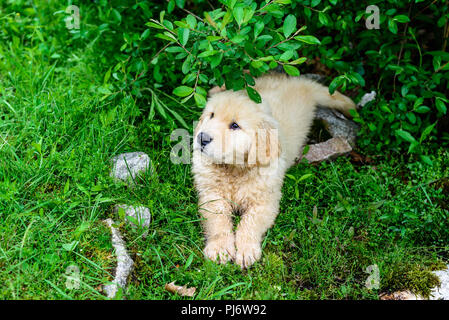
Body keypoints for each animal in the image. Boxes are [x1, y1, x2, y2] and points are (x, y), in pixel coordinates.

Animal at [191, 72, 356, 268]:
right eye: (211, 115)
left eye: (235, 125)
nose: (202, 138)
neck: (234, 169)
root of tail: (297, 82)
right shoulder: (211, 195)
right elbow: (218, 221)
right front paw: (220, 248)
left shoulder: (266, 202)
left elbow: (249, 223)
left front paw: (246, 250)